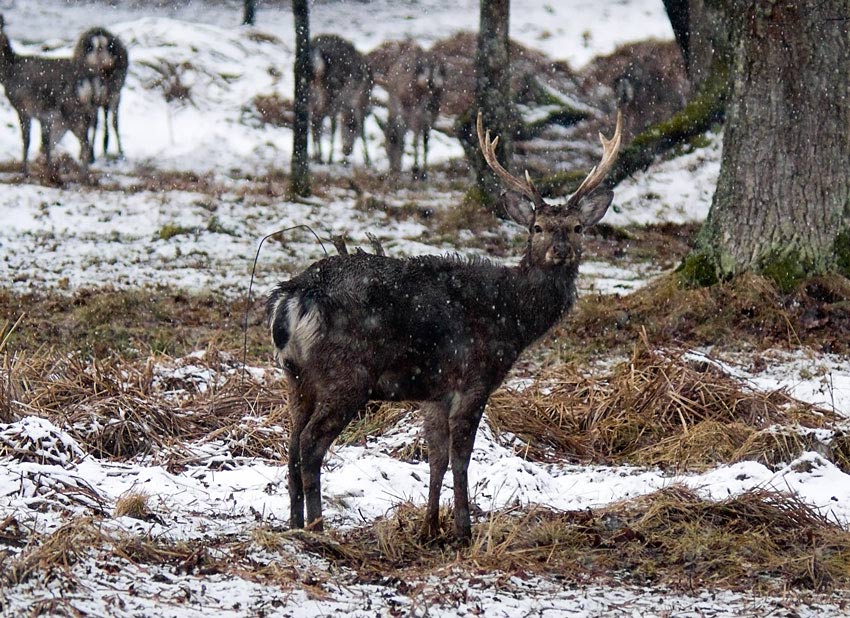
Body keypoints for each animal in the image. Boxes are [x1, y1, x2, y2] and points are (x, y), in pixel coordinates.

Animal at [0, 15, 96, 173]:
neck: (8, 73)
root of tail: (87, 81)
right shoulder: (44, 115)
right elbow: (46, 144)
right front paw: (49, 171)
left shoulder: (23, 107)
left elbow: (27, 141)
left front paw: (24, 172)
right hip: (82, 111)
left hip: (71, 109)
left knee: (85, 145)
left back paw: (84, 175)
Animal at [73, 26, 129, 161]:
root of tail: (99, 42)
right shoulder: (115, 94)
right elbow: (113, 120)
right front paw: (115, 149)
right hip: (109, 89)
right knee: (98, 119)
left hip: (89, 90)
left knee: (89, 119)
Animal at [266, 109, 624, 540]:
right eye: (536, 227)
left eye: (577, 227)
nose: (560, 250)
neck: (512, 318)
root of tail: (293, 297)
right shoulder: (474, 378)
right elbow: (460, 456)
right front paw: (463, 530)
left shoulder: (435, 390)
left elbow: (435, 456)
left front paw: (430, 526)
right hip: (347, 374)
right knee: (311, 444)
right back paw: (318, 528)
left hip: (296, 377)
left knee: (290, 444)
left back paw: (293, 525)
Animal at [306, 33, 370, 164]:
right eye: (351, 128)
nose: (347, 151)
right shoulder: (360, 103)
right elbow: (362, 130)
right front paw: (368, 160)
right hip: (331, 91)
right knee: (317, 119)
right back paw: (320, 157)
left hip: (310, 92)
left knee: (313, 120)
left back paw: (316, 156)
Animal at [374, 39, 448, 177]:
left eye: (389, 144)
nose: (394, 168)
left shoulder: (400, 108)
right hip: (436, 104)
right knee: (426, 139)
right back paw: (424, 172)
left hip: (417, 105)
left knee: (416, 137)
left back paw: (415, 169)